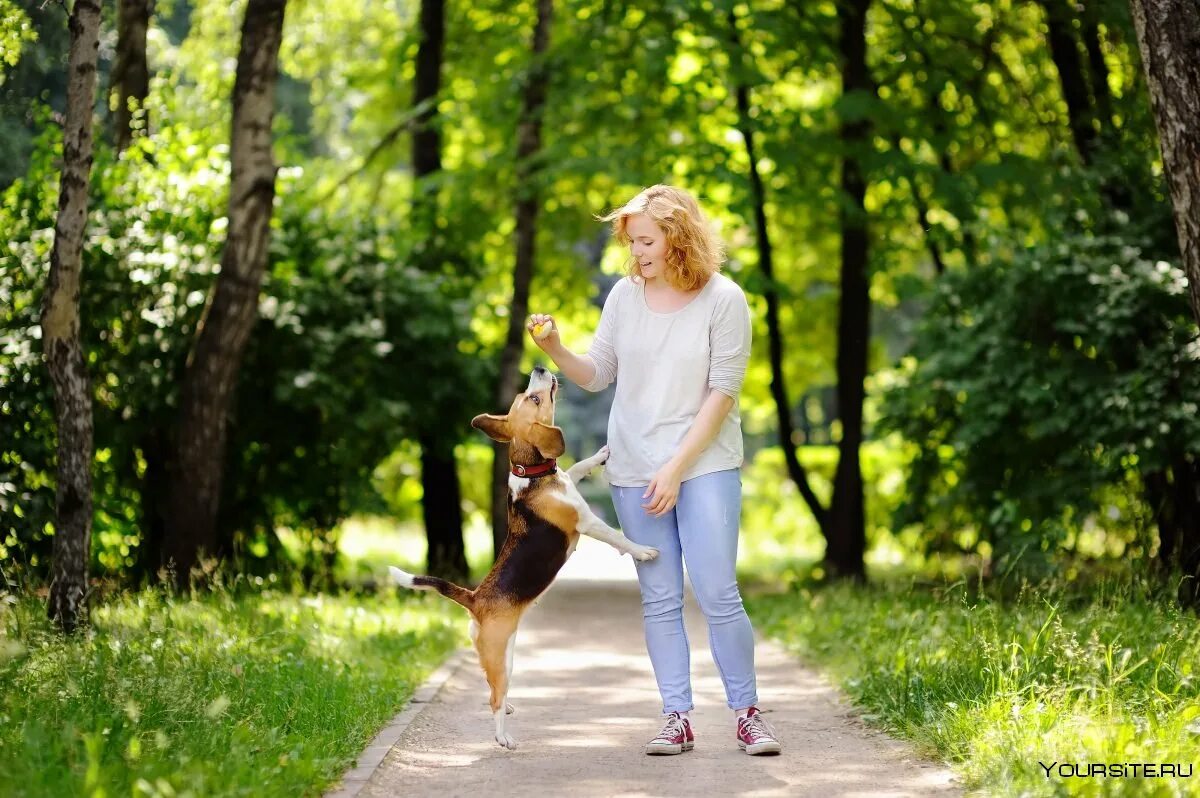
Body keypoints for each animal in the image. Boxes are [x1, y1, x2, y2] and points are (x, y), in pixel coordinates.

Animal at [391, 364, 657, 748]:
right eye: (533, 398)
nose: (540, 367)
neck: (531, 474)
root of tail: (474, 597)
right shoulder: (587, 521)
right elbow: (617, 536)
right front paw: (644, 550)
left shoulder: (570, 481)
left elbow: (578, 467)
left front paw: (599, 456)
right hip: (500, 656)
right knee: (493, 697)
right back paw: (503, 735)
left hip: (504, 653)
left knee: (494, 687)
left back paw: (510, 707)